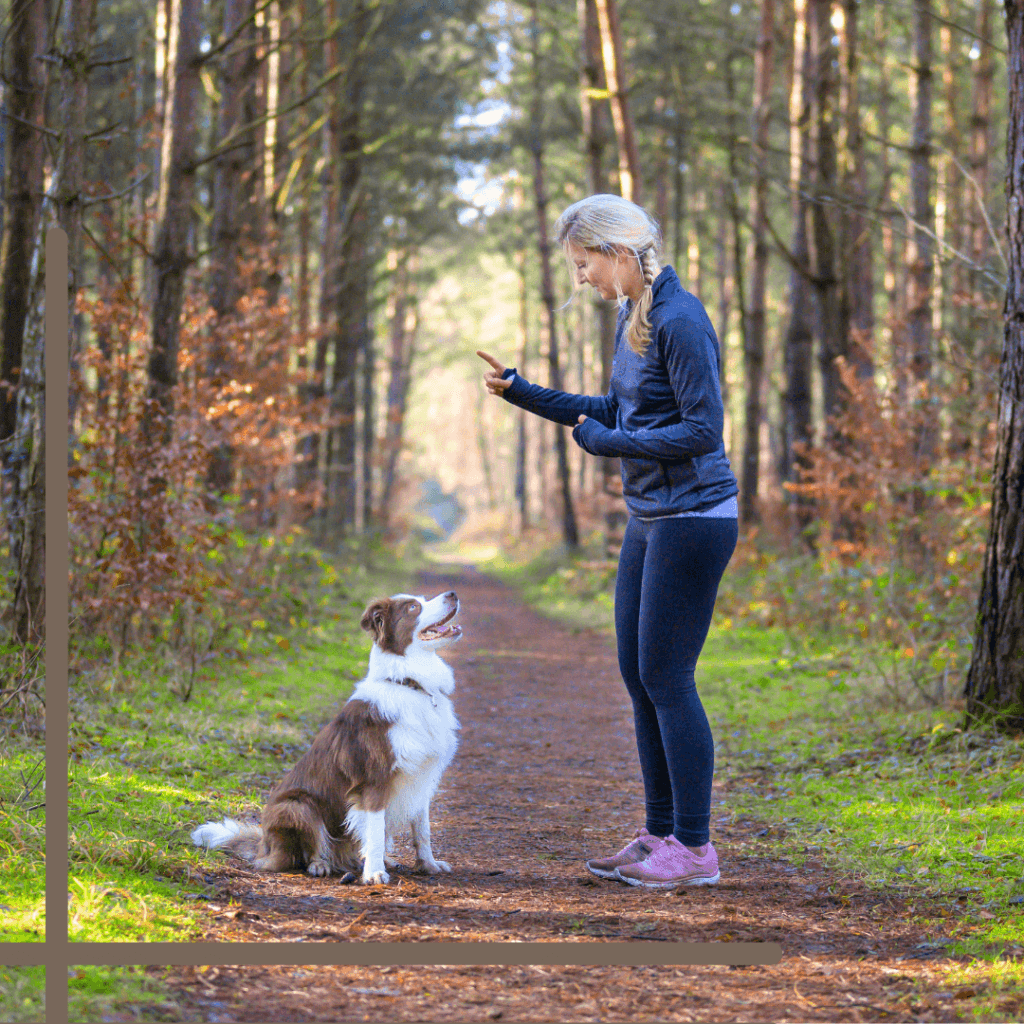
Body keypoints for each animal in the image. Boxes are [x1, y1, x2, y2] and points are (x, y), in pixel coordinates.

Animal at [191, 598, 460, 884]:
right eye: (413, 607)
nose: (452, 594)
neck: (408, 682)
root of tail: (264, 845)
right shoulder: (374, 781)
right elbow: (375, 832)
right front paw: (374, 873)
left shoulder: (421, 778)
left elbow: (422, 831)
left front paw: (428, 865)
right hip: (296, 805)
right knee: (306, 850)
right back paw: (320, 864)